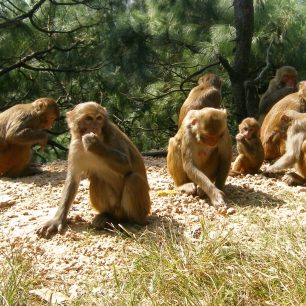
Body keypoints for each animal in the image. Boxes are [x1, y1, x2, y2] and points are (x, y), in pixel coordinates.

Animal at [36, 101, 151, 238]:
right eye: (89, 119)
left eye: (99, 118)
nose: (95, 127)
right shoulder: (75, 147)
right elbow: (73, 180)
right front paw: (57, 220)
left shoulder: (113, 134)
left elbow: (127, 164)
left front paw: (95, 144)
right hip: (115, 208)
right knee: (97, 179)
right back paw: (107, 216)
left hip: (143, 209)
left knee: (134, 178)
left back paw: (131, 222)